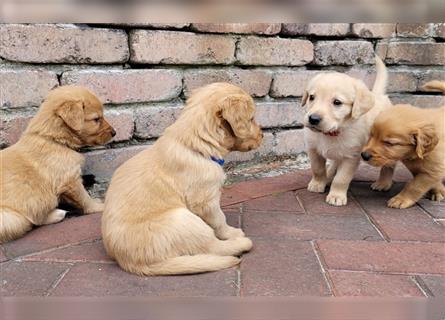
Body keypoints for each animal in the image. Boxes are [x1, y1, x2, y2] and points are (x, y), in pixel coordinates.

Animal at [0, 85, 114, 242]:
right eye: (96, 119)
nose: (114, 133)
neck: (53, 140)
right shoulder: (70, 181)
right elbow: (84, 198)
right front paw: (98, 206)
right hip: (10, 217)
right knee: (28, 221)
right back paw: (57, 214)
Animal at [102, 82, 262, 276]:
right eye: (251, 119)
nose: (262, 136)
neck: (195, 145)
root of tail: (134, 263)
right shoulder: (205, 201)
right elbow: (220, 220)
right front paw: (230, 232)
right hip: (183, 219)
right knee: (212, 246)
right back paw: (242, 243)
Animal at [302, 57, 392, 208]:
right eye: (312, 97)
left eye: (337, 102)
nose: (313, 119)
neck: (332, 132)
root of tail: (378, 95)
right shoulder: (313, 149)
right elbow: (317, 169)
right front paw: (317, 184)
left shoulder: (351, 156)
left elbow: (341, 178)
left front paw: (336, 196)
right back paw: (328, 175)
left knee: (390, 165)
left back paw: (383, 183)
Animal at [360, 81, 444, 209]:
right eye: (371, 135)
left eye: (389, 143)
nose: (364, 155)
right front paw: (438, 190)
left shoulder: (434, 169)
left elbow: (415, 185)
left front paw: (401, 199)